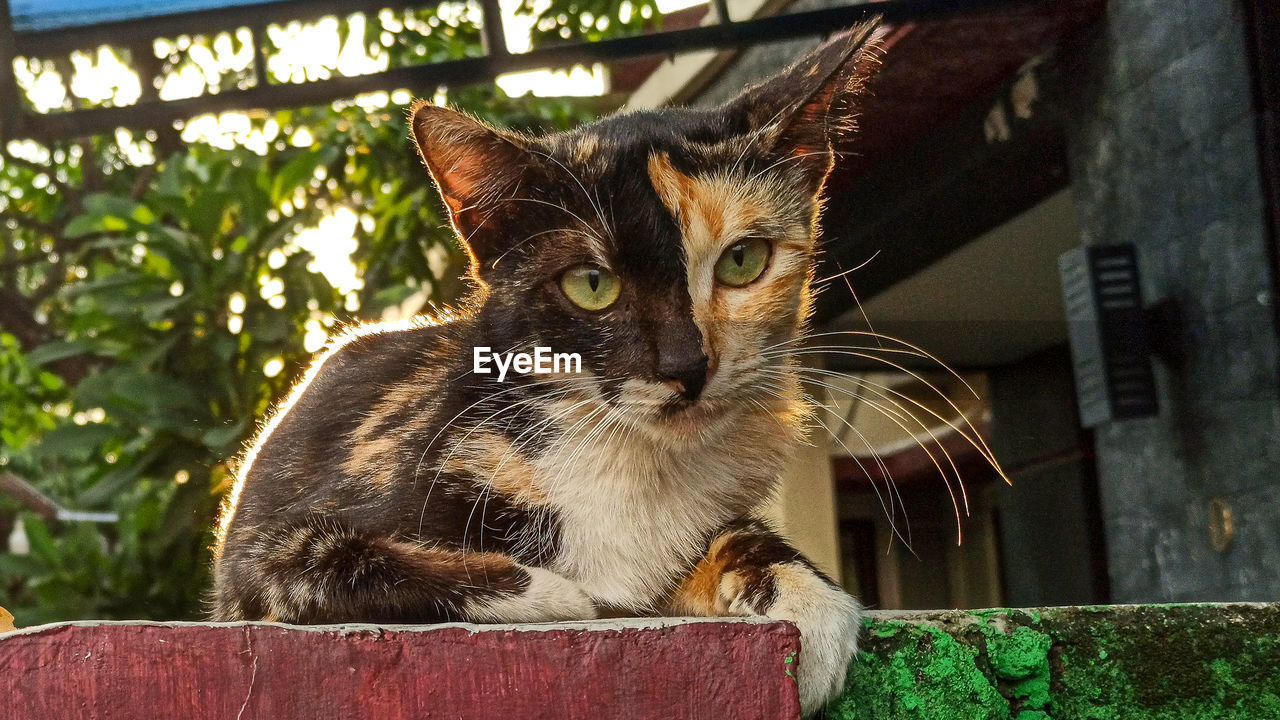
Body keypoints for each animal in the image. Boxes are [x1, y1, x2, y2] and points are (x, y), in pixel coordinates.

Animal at [215, 22, 885, 712]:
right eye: (591, 285)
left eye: (743, 261)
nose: (688, 365)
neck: (618, 451)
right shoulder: (263, 555)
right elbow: (324, 563)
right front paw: (552, 592)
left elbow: (735, 534)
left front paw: (809, 601)